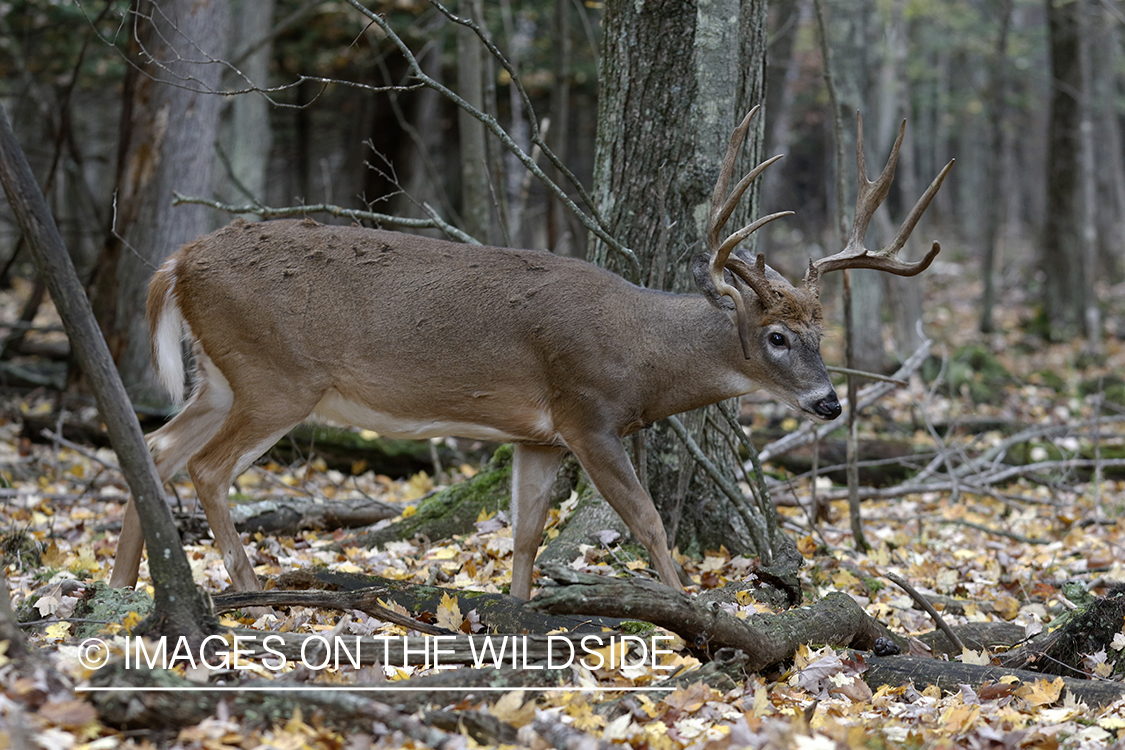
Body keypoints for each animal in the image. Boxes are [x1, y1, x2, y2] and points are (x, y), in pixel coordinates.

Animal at [109, 110, 949, 598]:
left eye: (820, 334)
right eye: (776, 337)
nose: (827, 402)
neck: (643, 351)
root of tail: (179, 260)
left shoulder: (534, 436)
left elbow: (522, 536)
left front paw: (516, 618)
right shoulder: (586, 412)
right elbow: (648, 523)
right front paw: (688, 614)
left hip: (220, 377)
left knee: (154, 448)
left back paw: (125, 591)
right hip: (276, 375)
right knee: (205, 466)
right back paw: (244, 587)